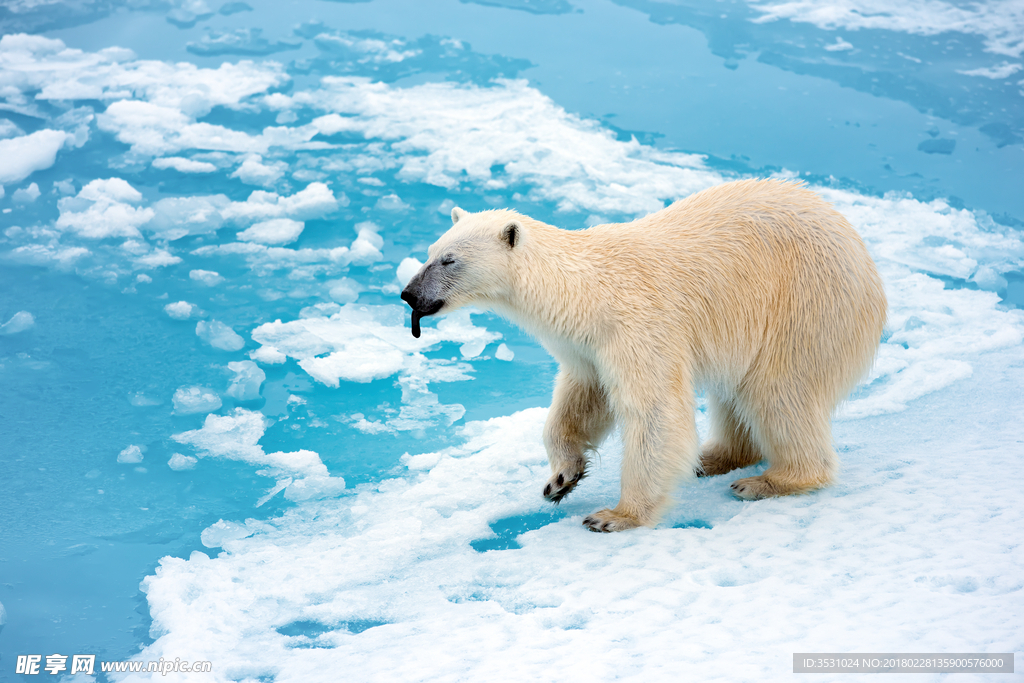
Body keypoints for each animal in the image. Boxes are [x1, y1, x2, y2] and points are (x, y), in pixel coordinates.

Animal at [399, 180, 888, 532]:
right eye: (429, 252)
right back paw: (713, 458)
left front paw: (614, 516)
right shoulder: (589, 343)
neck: (584, 290)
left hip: (804, 307)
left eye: (449, 260)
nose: (408, 294)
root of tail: (865, 259)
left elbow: (654, 411)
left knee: (778, 391)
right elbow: (582, 397)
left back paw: (768, 481)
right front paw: (561, 479)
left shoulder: (637, 324)